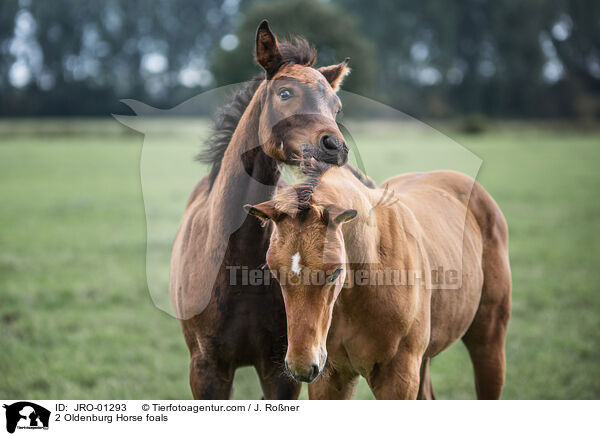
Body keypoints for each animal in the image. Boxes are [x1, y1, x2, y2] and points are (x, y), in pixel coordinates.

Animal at [246, 164, 512, 398]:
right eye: (274, 272)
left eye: (335, 272)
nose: (301, 367)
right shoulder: (331, 378)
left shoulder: (399, 379)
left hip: (488, 341)